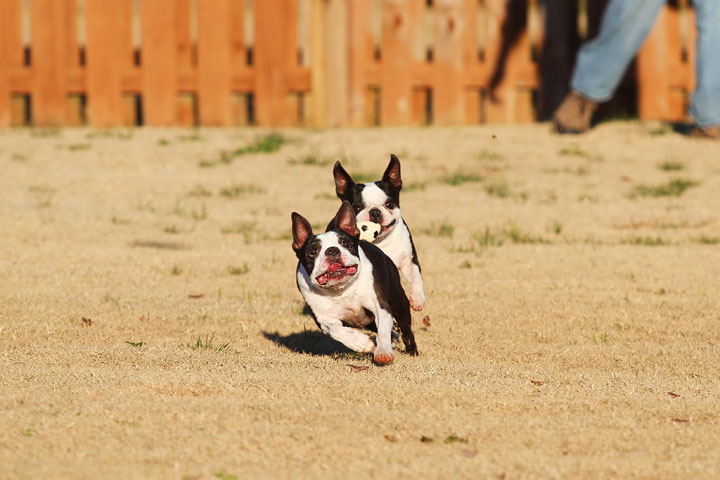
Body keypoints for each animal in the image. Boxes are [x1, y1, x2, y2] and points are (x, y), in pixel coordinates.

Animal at [292, 200, 420, 364]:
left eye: (346, 243)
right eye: (312, 251)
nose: (332, 250)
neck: (341, 290)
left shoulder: (380, 306)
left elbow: (383, 329)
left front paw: (383, 351)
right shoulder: (323, 319)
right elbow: (336, 330)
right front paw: (361, 343)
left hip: (399, 302)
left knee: (405, 329)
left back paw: (411, 350)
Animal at [334, 155, 428, 312]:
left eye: (389, 204)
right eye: (357, 208)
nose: (375, 212)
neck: (380, 242)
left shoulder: (409, 261)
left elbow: (416, 277)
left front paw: (417, 298)